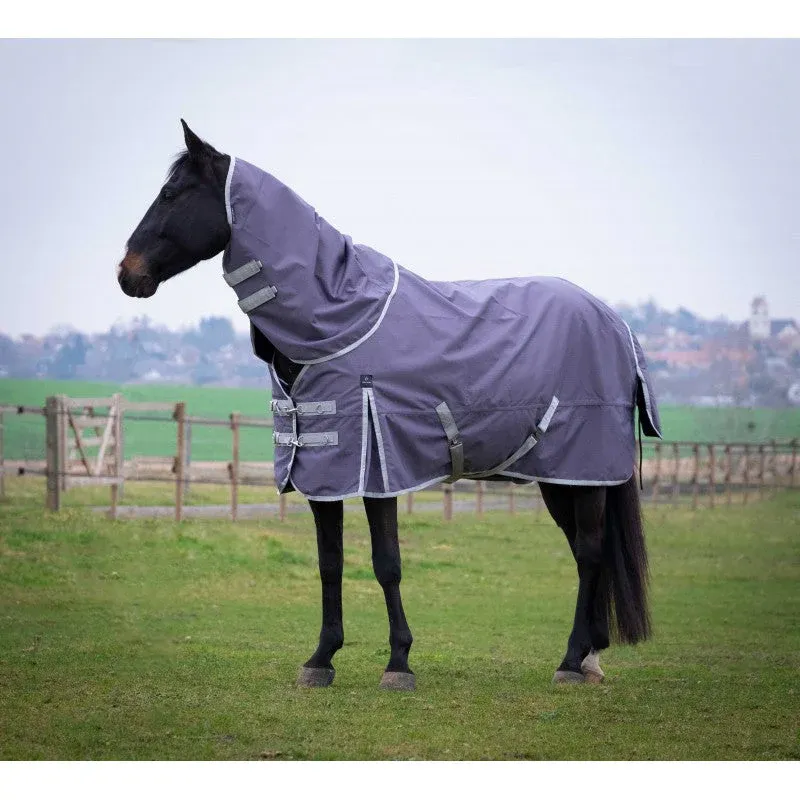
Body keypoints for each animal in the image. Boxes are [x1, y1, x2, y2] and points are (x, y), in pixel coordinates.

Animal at [117, 120, 660, 690]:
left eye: (172, 194)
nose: (126, 273)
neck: (338, 318)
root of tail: (618, 325)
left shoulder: (377, 465)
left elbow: (387, 563)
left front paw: (399, 663)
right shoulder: (321, 469)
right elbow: (330, 563)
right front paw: (321, 659)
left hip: (586, 471)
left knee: (590, 552)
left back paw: (571, 662)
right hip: (562, 477)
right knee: (583, 551)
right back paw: (590, 656)